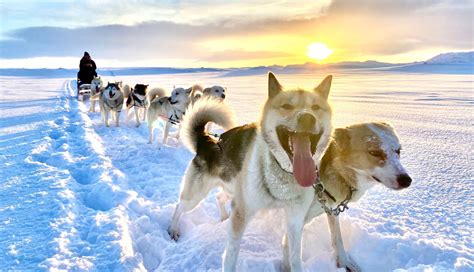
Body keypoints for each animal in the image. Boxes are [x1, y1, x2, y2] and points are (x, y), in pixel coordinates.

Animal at [168, 73, 332, 272]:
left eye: (316, 107)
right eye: (286, 106)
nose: (307, 118)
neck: (282, 173)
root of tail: (205, 140)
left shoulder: (295, 219)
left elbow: (294, 257)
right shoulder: (241, 213)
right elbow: (230, 256)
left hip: (231, 189)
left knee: (219, 197)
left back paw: (224, 217)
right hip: (195, 196)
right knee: (179, 207)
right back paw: (173, 230)